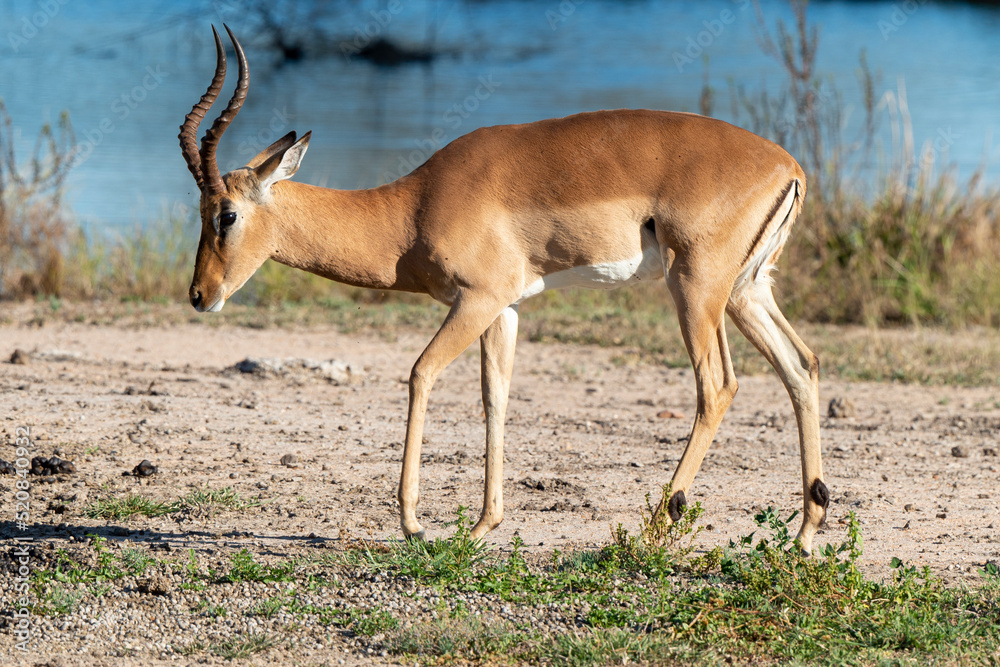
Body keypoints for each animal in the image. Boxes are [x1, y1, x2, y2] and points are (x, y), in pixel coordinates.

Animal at [180, 26, 830, 553]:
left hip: (694, 289)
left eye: (226, 215)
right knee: (801, 364)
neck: (411, 210)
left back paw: (654, 527)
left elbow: (420, 373)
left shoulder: (477, 299)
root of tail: (789, 166)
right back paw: (803, 534)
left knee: (718, 385)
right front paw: (481, 525)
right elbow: (496, 397)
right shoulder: (506, 309)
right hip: (745, 292)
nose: (199, 295)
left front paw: (414, 524)